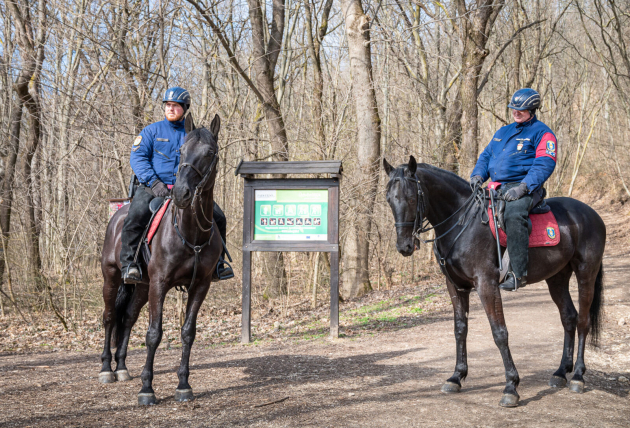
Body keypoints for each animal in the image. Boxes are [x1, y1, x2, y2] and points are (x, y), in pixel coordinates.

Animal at [99, 113, 225, 404]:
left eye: (209, 152)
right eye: (181, 151)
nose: (180, 193)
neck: (190, 233)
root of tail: (118, 214)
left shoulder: (200, 286)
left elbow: (188, 333)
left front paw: (183, 385)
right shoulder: (159, 284)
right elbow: (154, 334)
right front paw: (147, 389)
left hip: (141, 287)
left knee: (128, 318)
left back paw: (121, 367)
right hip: (112, 277)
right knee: (110, 317)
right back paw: (106, 369)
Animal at [386, 157, 608, 408]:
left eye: (412, 197)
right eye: (389, 199)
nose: (404, 246)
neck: (462, 223)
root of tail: (591, 214)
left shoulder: (486, 284)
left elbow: (499, 332)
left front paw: (511, 386)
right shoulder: (456, 286)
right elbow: (460, 329)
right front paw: (456, 377)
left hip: (586, 274)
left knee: (583, 321)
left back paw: (578, 376)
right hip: (557, 278)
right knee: (568, 317)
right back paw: (561, 373)